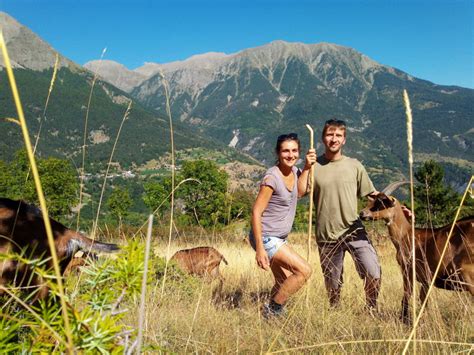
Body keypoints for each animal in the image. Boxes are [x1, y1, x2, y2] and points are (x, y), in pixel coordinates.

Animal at [360, 188, 474, 324]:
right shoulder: (426, 280)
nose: (362, 213)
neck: (406, 234)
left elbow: (407, 294)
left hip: (467, 274)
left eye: (381, 202)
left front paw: (404, 318)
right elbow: (423, 300)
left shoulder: (408, 270)